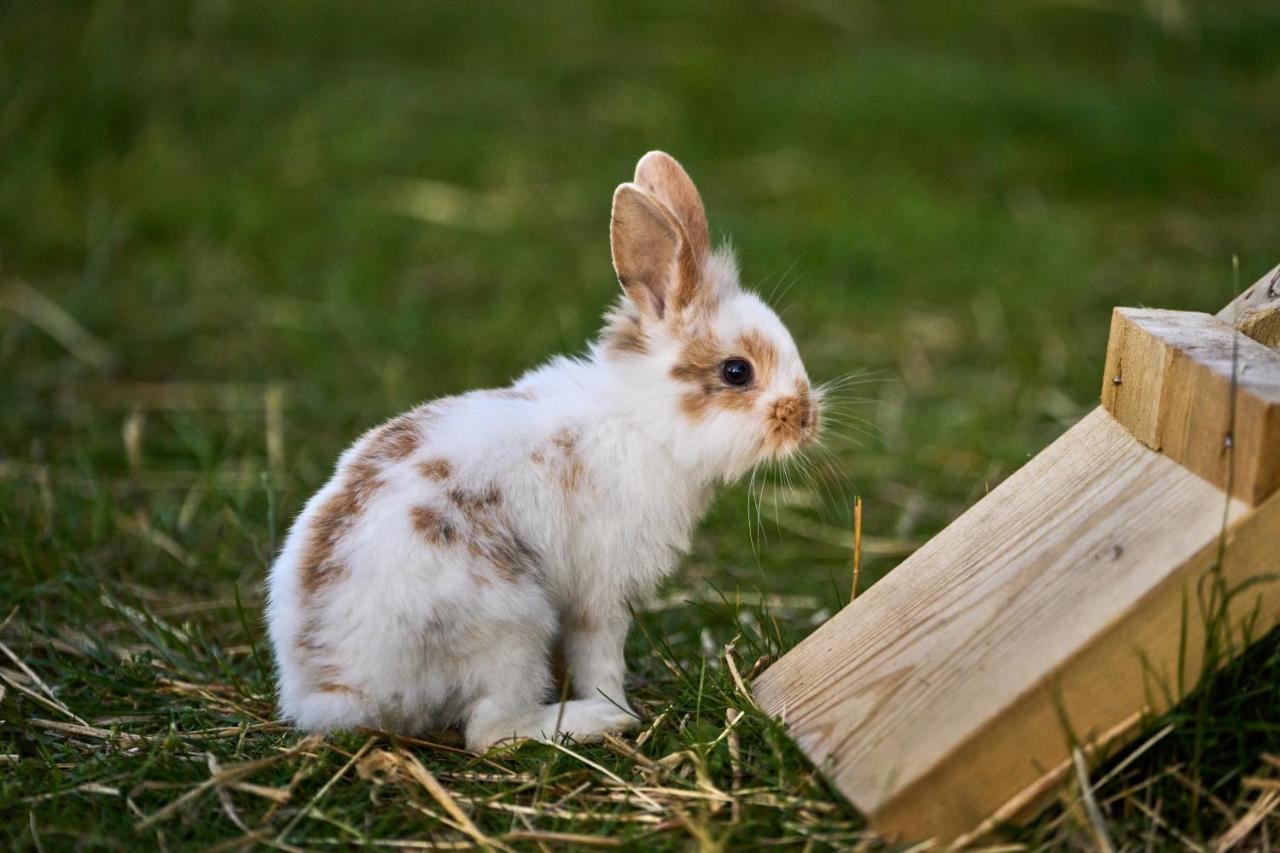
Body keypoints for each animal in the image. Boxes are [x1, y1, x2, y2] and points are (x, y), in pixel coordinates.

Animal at [266, 153, 824, 753]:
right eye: (736, 371)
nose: (806, 419)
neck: (641, 421)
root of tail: (332, 688)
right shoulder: (601, 592)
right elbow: (600, 658)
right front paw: (619, 706)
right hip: (511, 625)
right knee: (489, 732)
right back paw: (592, 722)